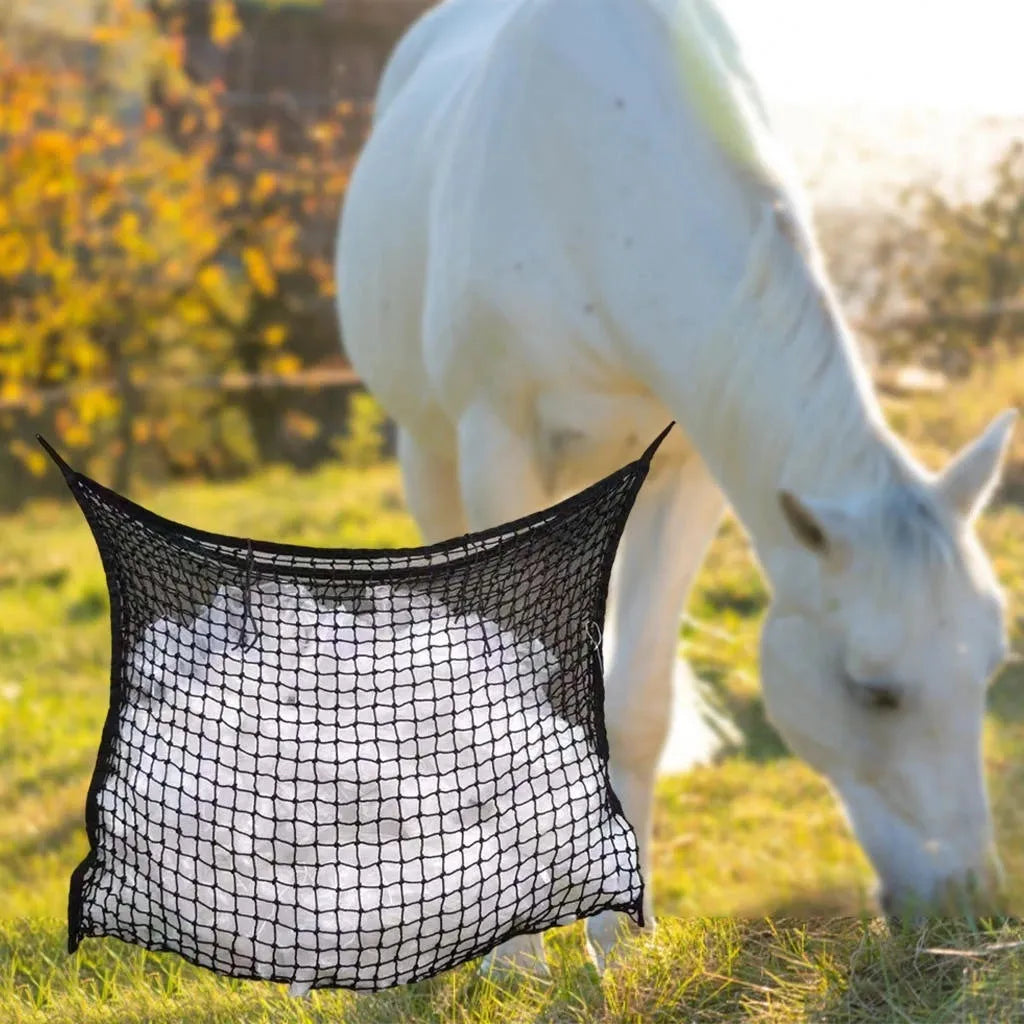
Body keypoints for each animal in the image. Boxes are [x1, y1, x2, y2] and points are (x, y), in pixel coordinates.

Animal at [335, 0, 1016, 968]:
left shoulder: (689, 472)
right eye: (872, 691)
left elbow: (638, 707)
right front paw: (513, 961)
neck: (592, 190)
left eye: (990, 669)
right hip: (430, 454)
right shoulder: (495, 443)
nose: (970, 905)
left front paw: (622, 947)